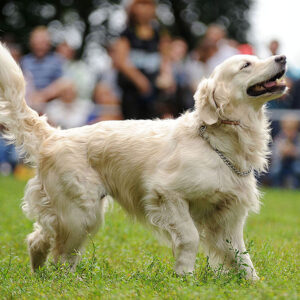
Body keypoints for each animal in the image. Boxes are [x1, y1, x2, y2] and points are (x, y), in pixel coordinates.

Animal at [0, 42, 288, 282]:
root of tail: (54, 135)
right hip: (81, 214)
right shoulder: (167, 194)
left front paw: (255, 284)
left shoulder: (228, 216)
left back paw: (39, 271)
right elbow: (190, 238)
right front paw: (185, 276)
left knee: (38, 239)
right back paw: (68, 280)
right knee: (61, 254)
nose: (283, 57)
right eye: (246, 65)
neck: (217, 143)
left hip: (73, 214)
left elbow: (242, 256)